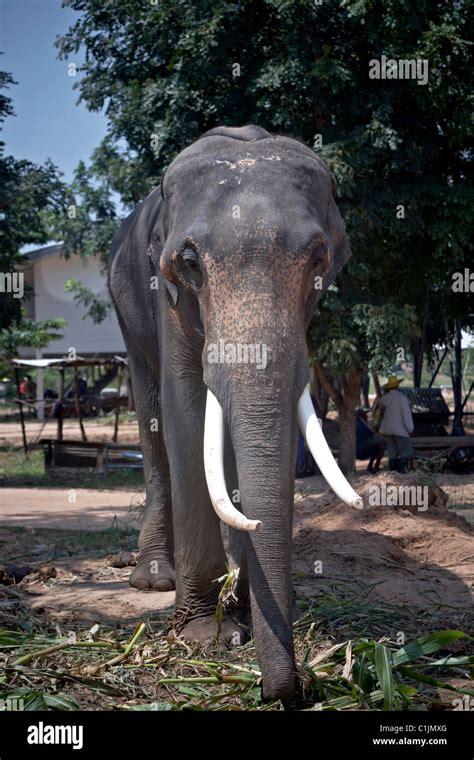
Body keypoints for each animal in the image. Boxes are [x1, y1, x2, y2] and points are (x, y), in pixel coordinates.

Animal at [108, 124, 362, 704]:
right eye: (190, 263)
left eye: (318, 261)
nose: (290, 689)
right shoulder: (168, 298)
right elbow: (184, 409)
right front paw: (207, 637)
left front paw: (242, 620)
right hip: (126, 313)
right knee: (153, 419)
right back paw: (154, 577)